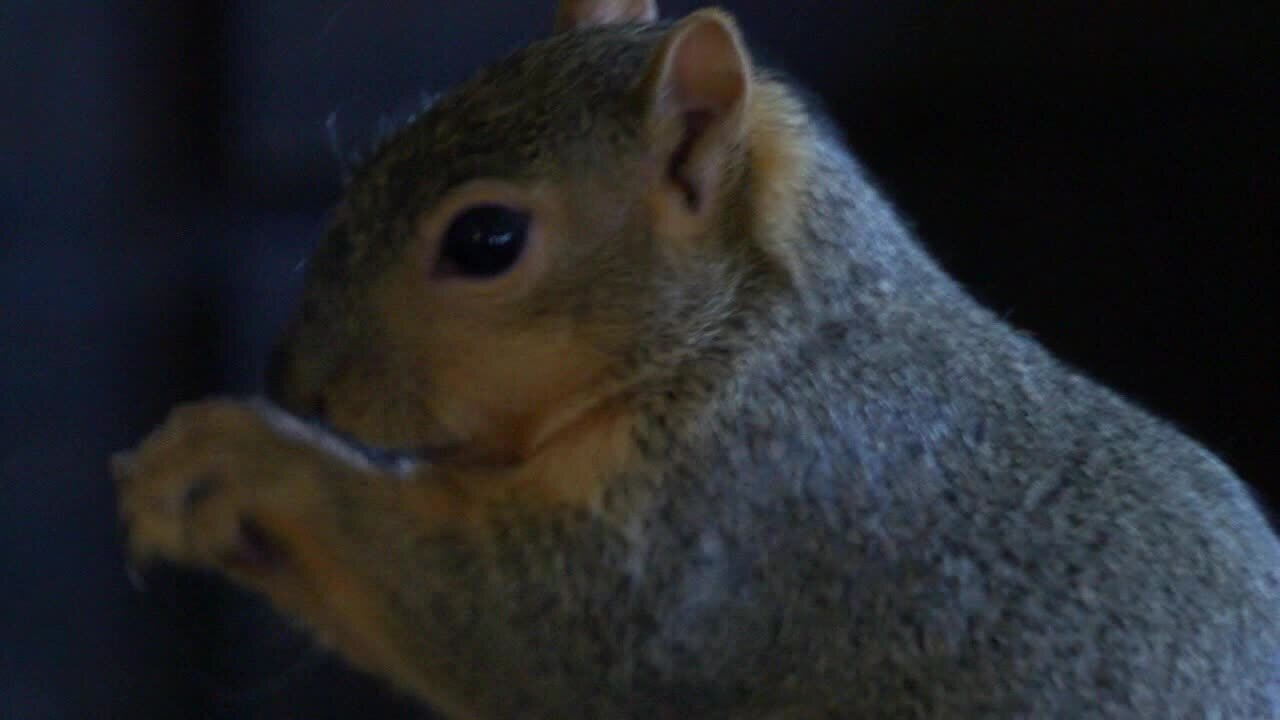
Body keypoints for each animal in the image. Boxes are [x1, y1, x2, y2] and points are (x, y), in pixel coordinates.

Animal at [107, 2, 1280, 712]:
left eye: (484, 240)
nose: (291, 382)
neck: (744, 338)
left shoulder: (731, 518)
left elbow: (508, 628)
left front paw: (233, 460)